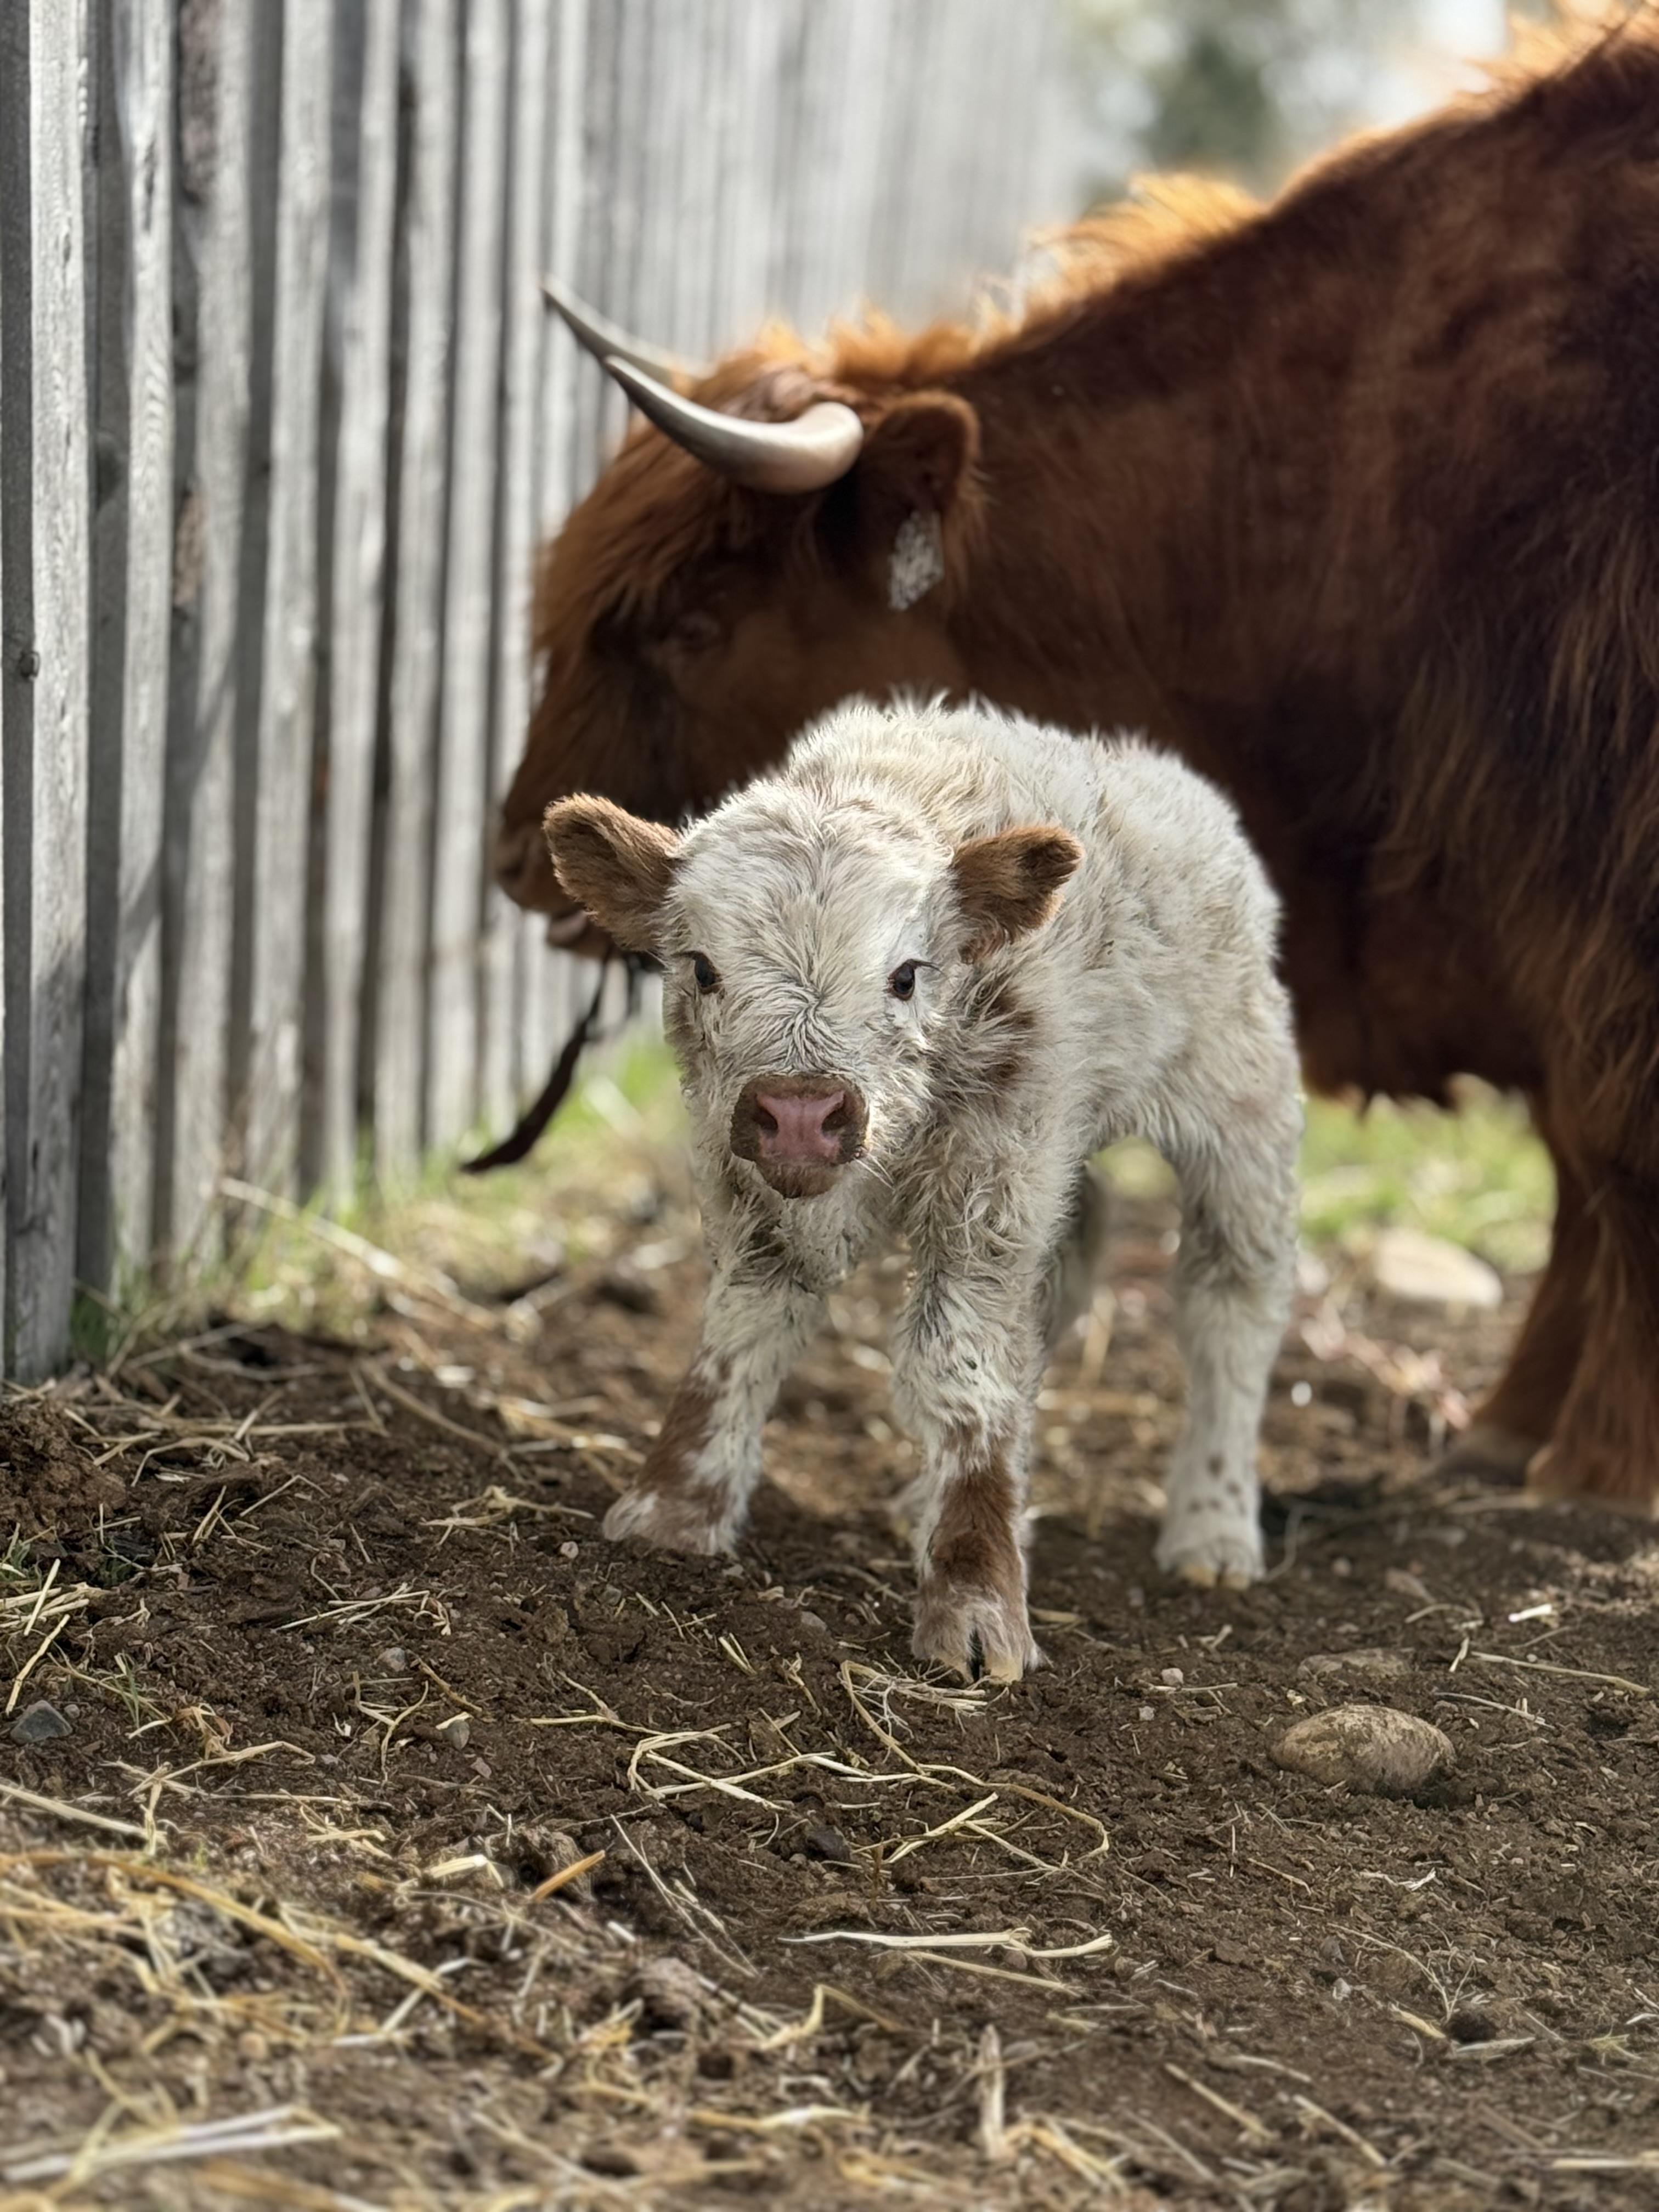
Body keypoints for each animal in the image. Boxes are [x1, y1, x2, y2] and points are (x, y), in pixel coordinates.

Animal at [497, 12, 1659, 1511]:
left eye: (691, 623)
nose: (517, 851)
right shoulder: (1542, 913)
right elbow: (1586, 1153)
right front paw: (1514, 1430)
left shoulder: (1599, 896)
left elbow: (1615, 1146)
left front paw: (1600, 1468)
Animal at [546, 699, 1301, 1675]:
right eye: (703, 968)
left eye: (906, 977)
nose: (800, 1113)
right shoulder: (748, 1186)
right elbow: (739, 1337)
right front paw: (675, 1511)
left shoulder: (992, 1184)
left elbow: (960, 1366)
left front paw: (977, 1604)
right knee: (1068, 1274)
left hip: (1239, 1095)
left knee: (1233, 1298)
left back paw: (1213, 1529)